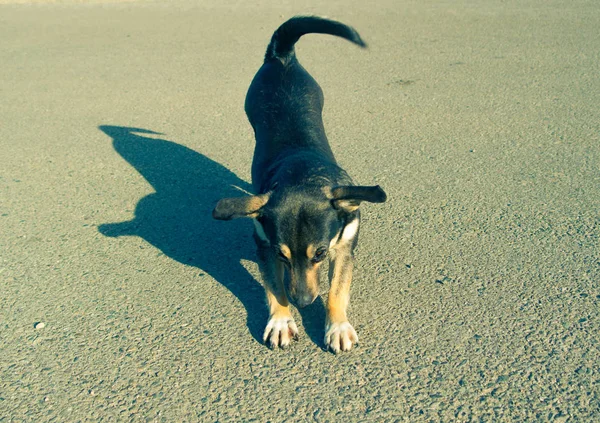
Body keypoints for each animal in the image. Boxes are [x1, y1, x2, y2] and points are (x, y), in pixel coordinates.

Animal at [213, 15, 386, 354]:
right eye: (283, 256)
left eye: (320, 254)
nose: (303, 302)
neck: (301, 173)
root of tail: (281, 56)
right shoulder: (265, 248)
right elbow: (275, 287)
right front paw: (281, 320)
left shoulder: (344, 248)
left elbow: (337, 290)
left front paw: (338, 326)